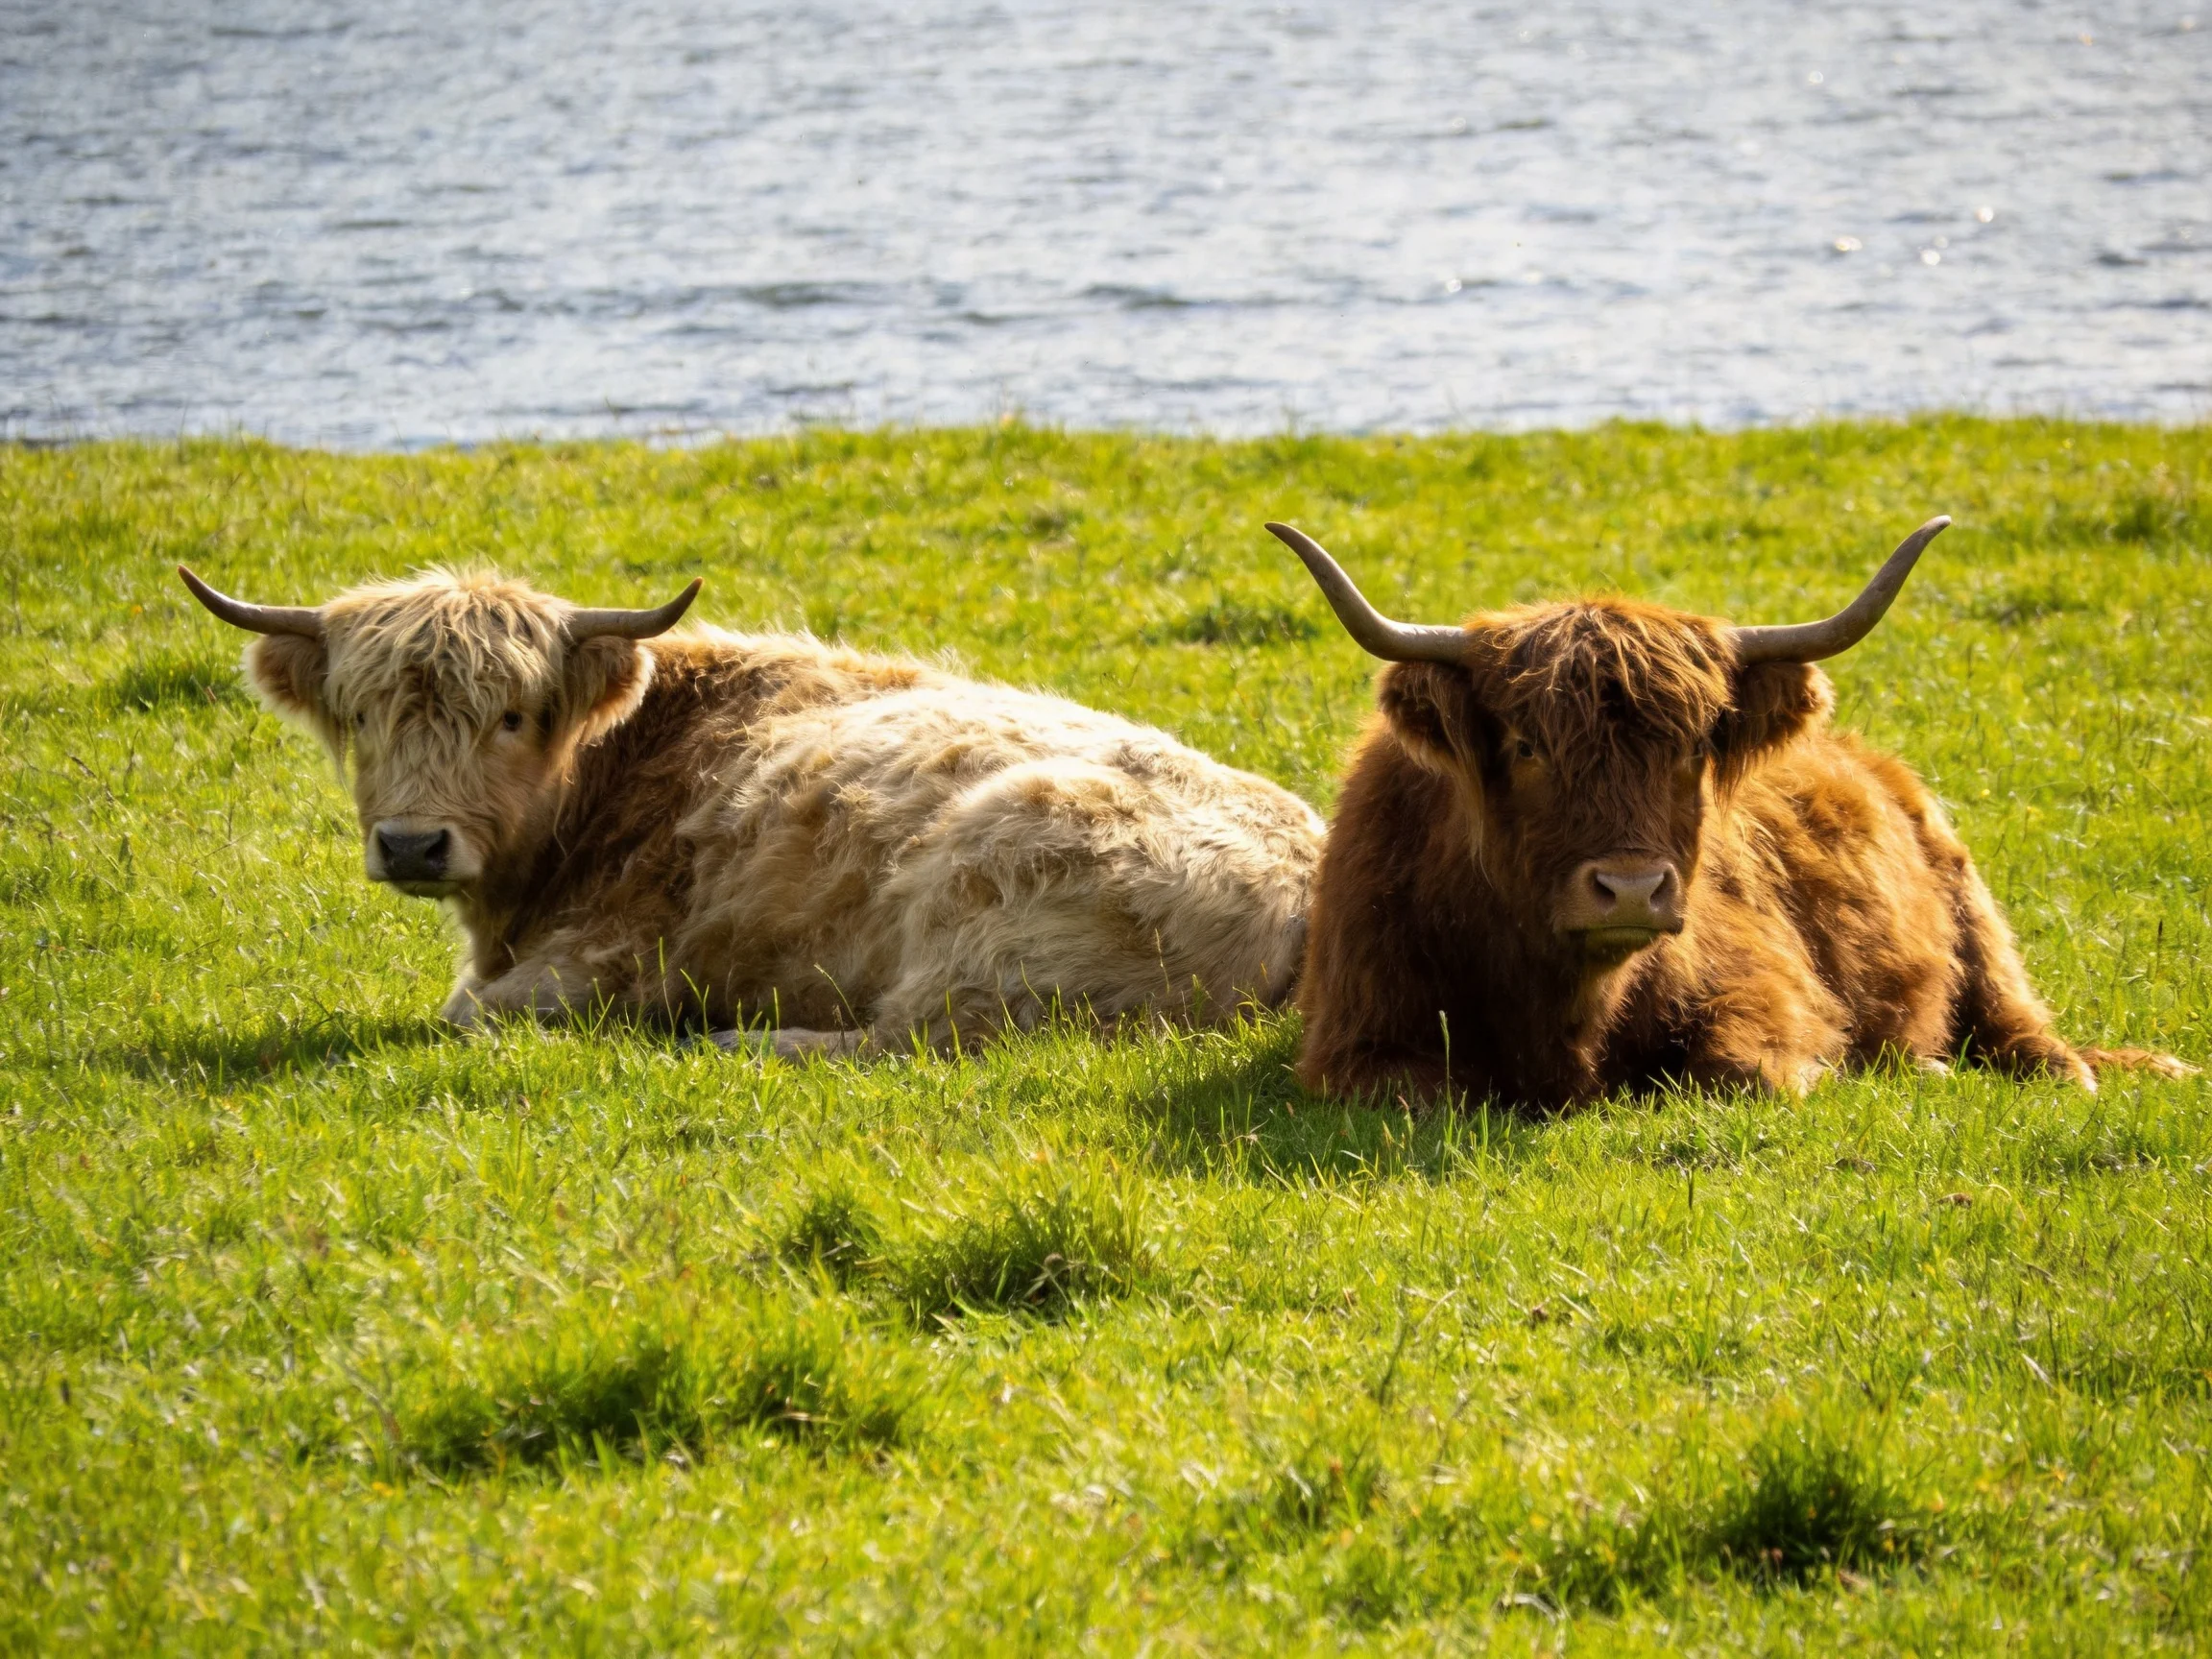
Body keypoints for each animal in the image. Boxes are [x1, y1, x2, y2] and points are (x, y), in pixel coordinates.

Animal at [179, 565, 1322, 1056]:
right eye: (362, 716)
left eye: (512, 715)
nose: (413, 843)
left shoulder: (601, 959)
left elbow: (470, 1014)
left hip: (979, 922)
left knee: (907, 1041)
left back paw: (726, 1037)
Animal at [1268, 517, 2192, 1109]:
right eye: (1527, 747)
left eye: (1691, 748)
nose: (1631, 890)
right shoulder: (1356, 1038)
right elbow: (1426, 1094)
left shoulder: (1768, 987)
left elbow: (1740, 1073)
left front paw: (1865, 1072)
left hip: (1981, 930)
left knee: (2029, 1036)